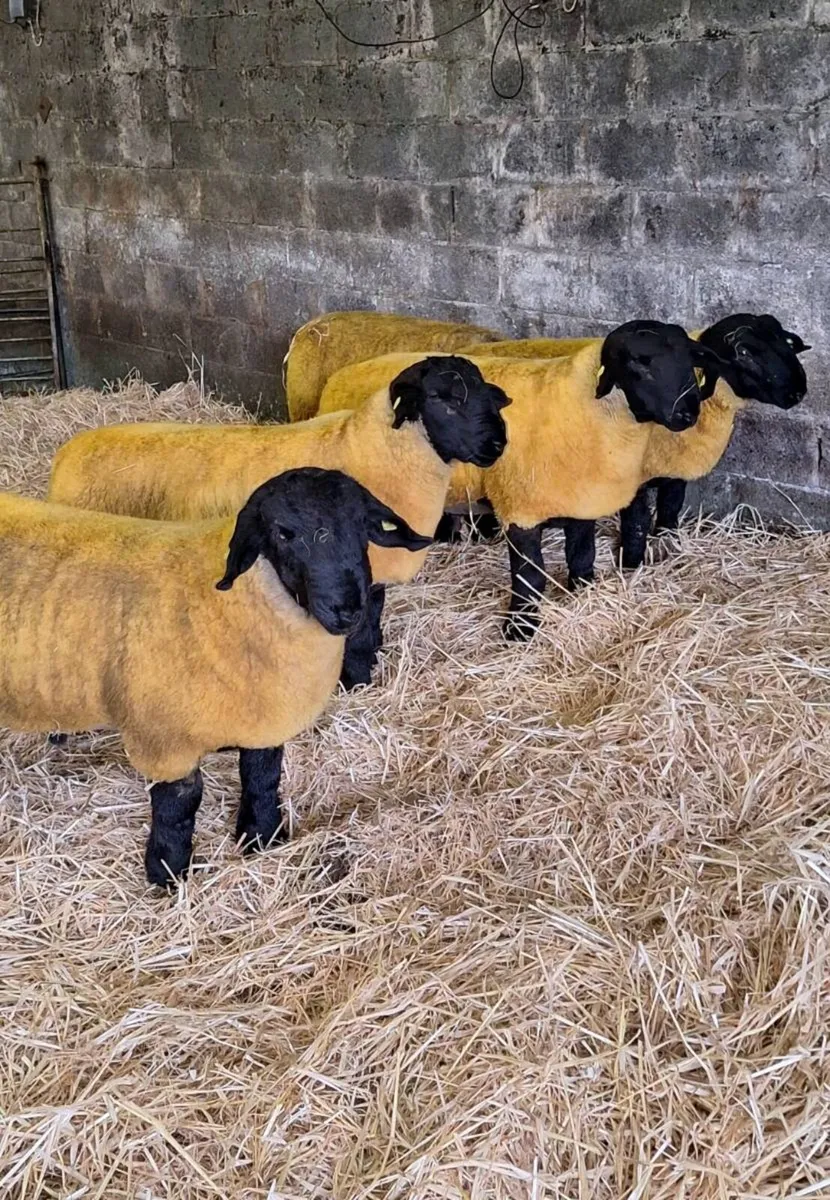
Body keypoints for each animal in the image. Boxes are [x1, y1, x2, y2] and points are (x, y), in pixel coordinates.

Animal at [0, 468, 431, 885]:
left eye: (363, 524)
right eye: (282, 533)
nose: (348, 610)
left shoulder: (264, 717)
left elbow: (262, 778)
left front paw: (262, 836)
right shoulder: (163, 737)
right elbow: (178, 805)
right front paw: (168, 872)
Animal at [48, 356, 510, 687]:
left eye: (486, 395)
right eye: (444, 400)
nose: (498, 444)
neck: (375, 450)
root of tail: (65, 455)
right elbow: (358, 636)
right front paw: (357, 681)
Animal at [316, 321, 725, 640]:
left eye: (689, 361)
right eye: (641, 363)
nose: (688, 413)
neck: (584, 408)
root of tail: (342, 374)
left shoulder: (580, 500)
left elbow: (582, 555)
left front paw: (582, 594)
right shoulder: (521, 507)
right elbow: (530, 576)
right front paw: (520, 630)